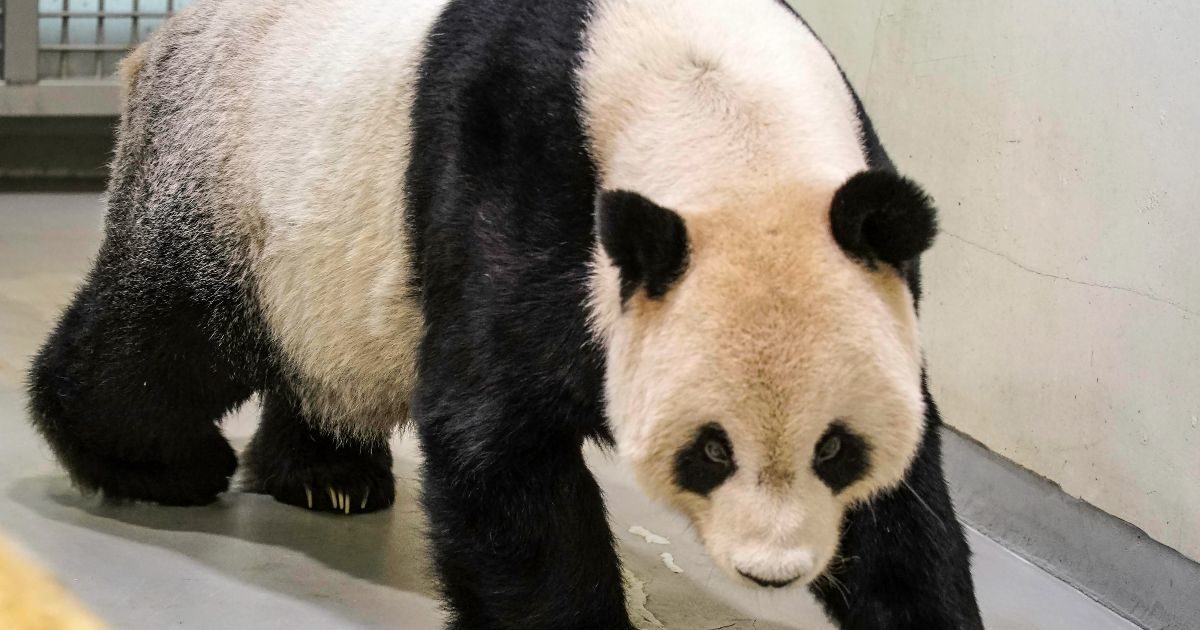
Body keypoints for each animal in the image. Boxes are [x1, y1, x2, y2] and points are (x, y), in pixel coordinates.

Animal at [27, 0, 983, 628]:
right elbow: (496, 439)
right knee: (163, 344)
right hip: (228, 190)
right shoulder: (518, 179)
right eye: (712, 450)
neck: (723, 119)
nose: (774, 571)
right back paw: (161, 464)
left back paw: (328, 476)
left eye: (835, 448)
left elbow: (908, 504)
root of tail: (156, 41)